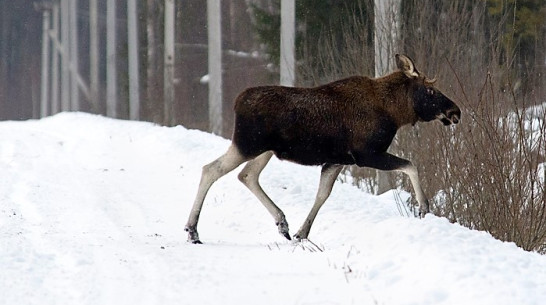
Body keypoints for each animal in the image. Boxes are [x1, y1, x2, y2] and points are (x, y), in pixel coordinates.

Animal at [184, 52, 460, 242]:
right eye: (431, 90)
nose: (455, 111)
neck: (395, 113)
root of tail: (236, 102)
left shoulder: (337, 160)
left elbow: (322, 195)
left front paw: (302, 232)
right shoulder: (366, 154)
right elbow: (410, 165)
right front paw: (423, 207)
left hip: (264, 150)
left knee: (247, 175)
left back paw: (282, 223)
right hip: (247, 144)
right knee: (211, 169)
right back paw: (192, 230)